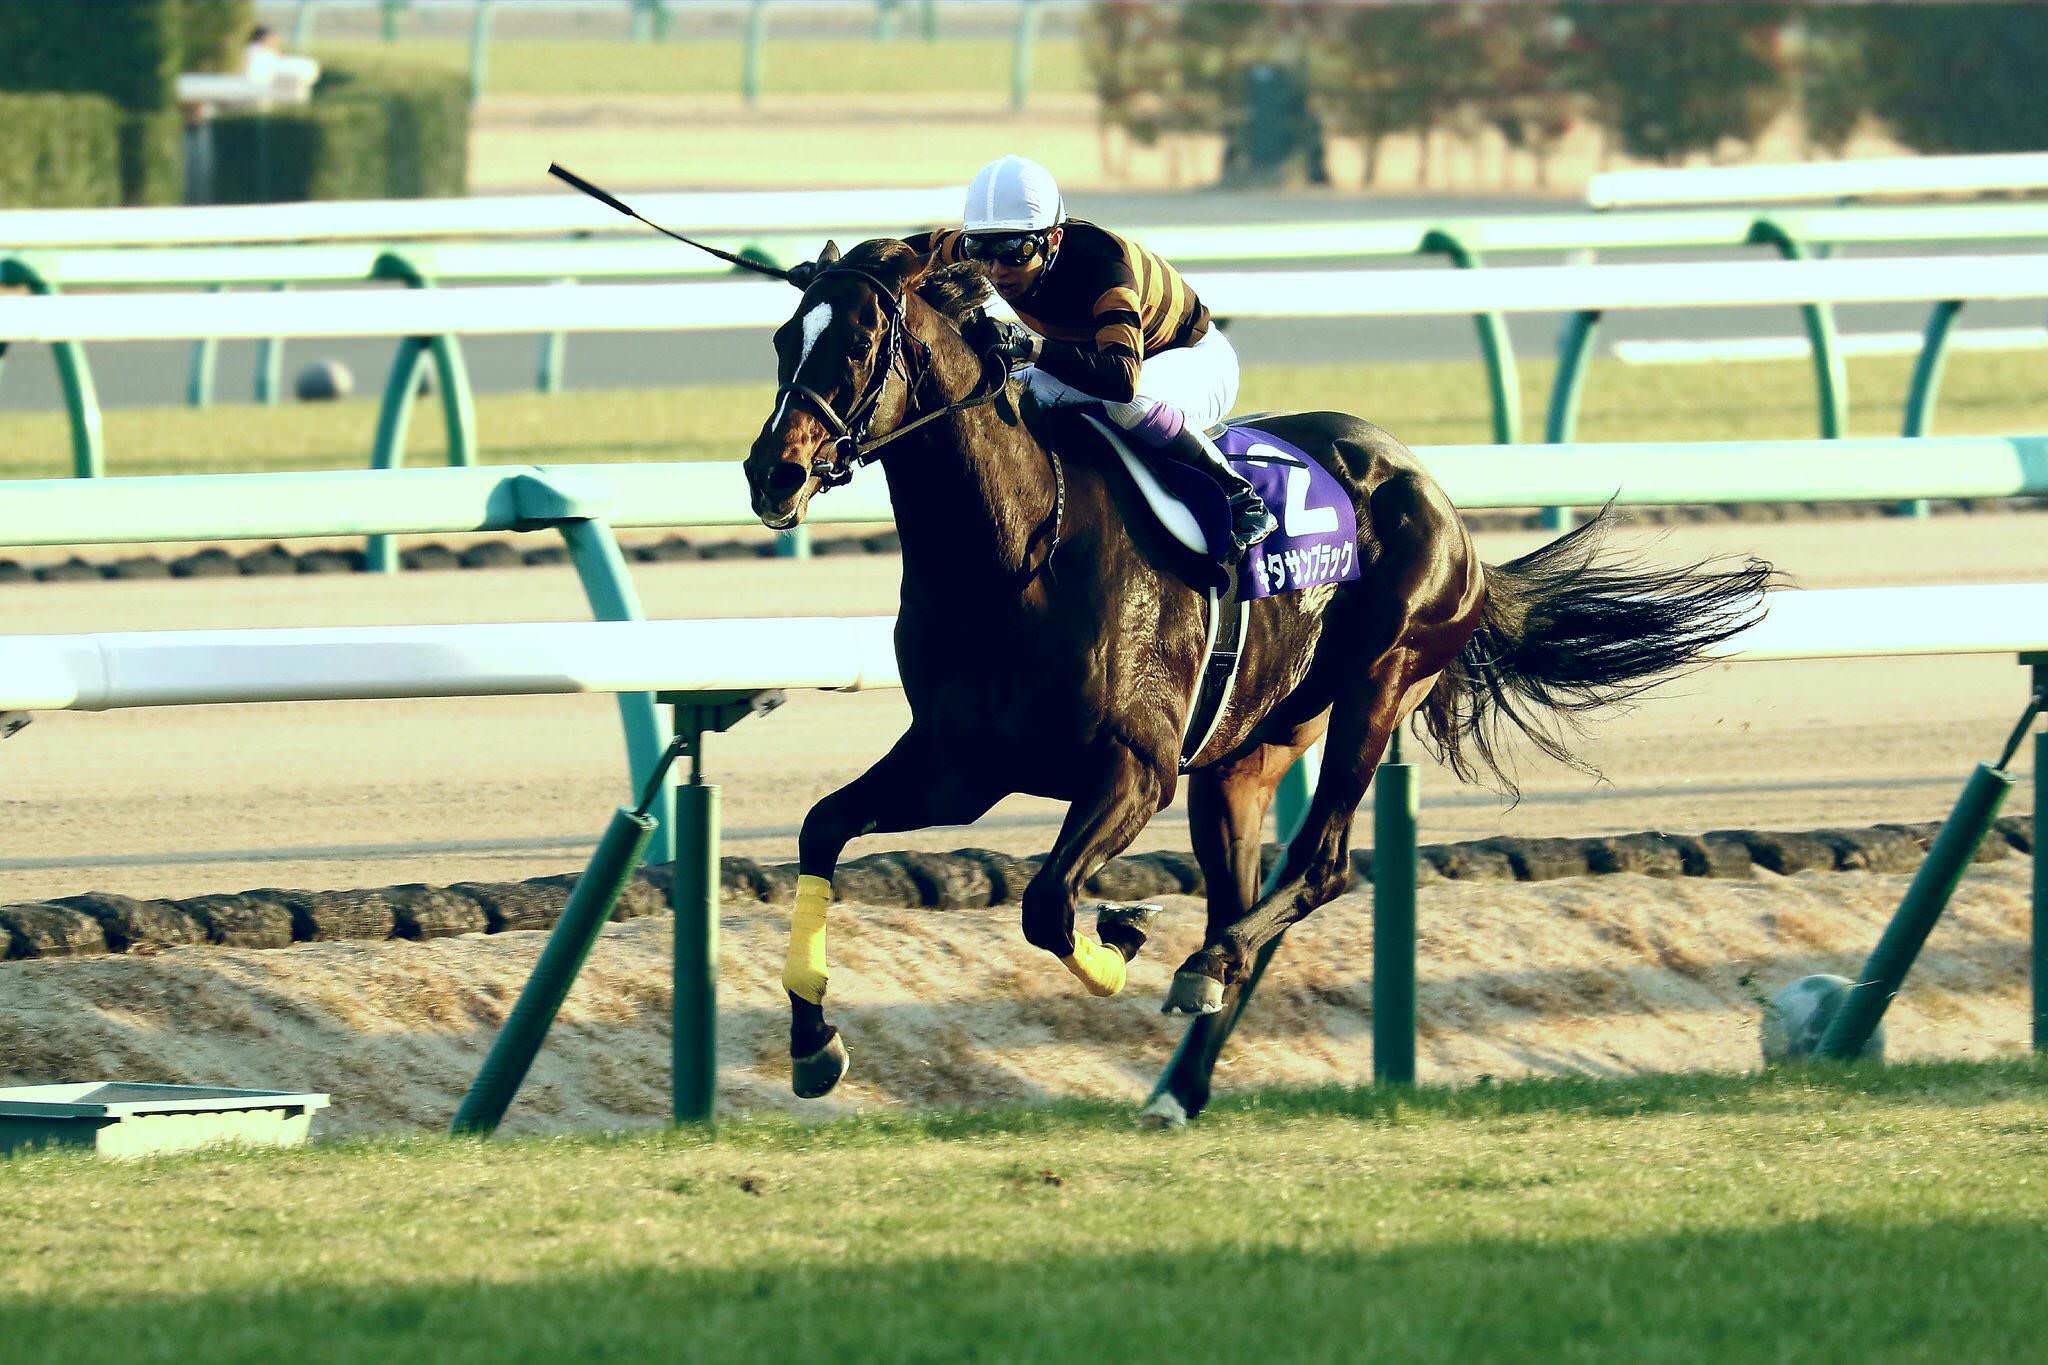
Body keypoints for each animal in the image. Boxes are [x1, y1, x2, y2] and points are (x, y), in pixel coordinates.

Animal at [741, 237, 1774, 1120]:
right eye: (785, 337)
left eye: (858, 343)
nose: (771, 471)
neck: (1021, 547)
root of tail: (1439, 501)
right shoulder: (961, 765)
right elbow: (822, 826)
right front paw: (813, 1044)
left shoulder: (1136, 768)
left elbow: (1046, 904)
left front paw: (1122, 934)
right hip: (1246, 754)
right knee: (1250, 901)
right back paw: (1179, 1079)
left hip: (1378, 684)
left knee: (1317, 865)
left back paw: (1205, 969)